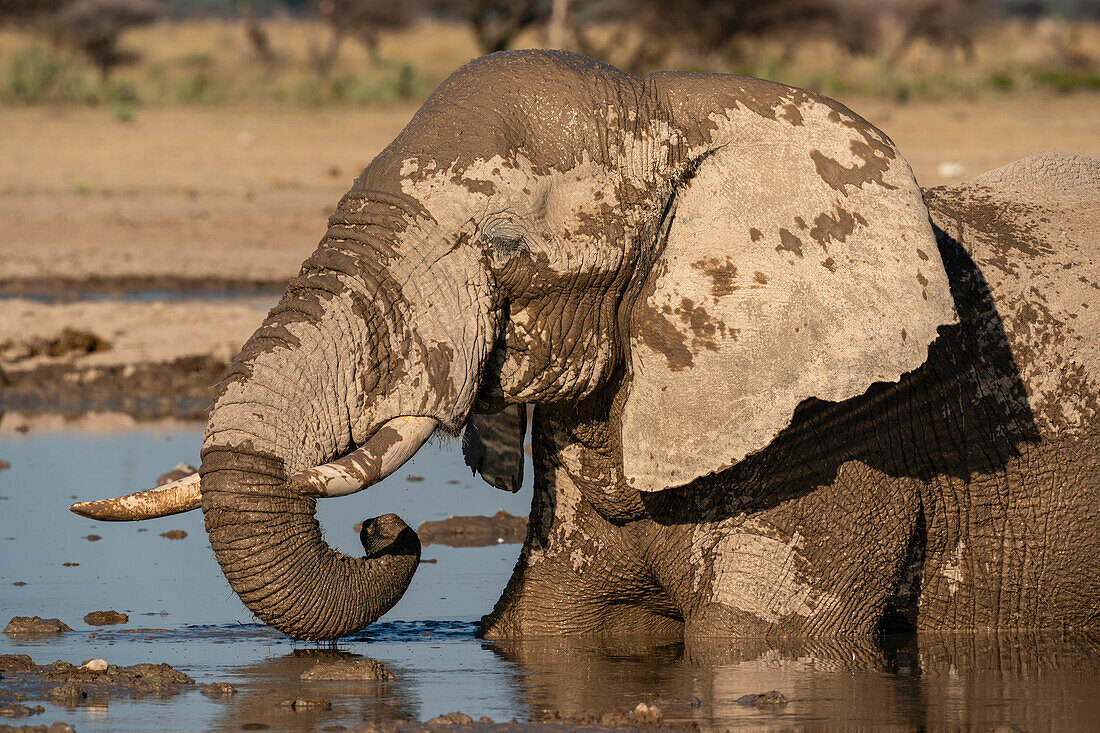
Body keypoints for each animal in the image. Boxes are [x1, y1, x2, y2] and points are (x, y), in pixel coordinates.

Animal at [70, 48, 1100, 638]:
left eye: (503, 248)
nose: (383, 528)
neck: (683, 106)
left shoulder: (841, 440)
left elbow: (762, 641)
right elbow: (539, 631)